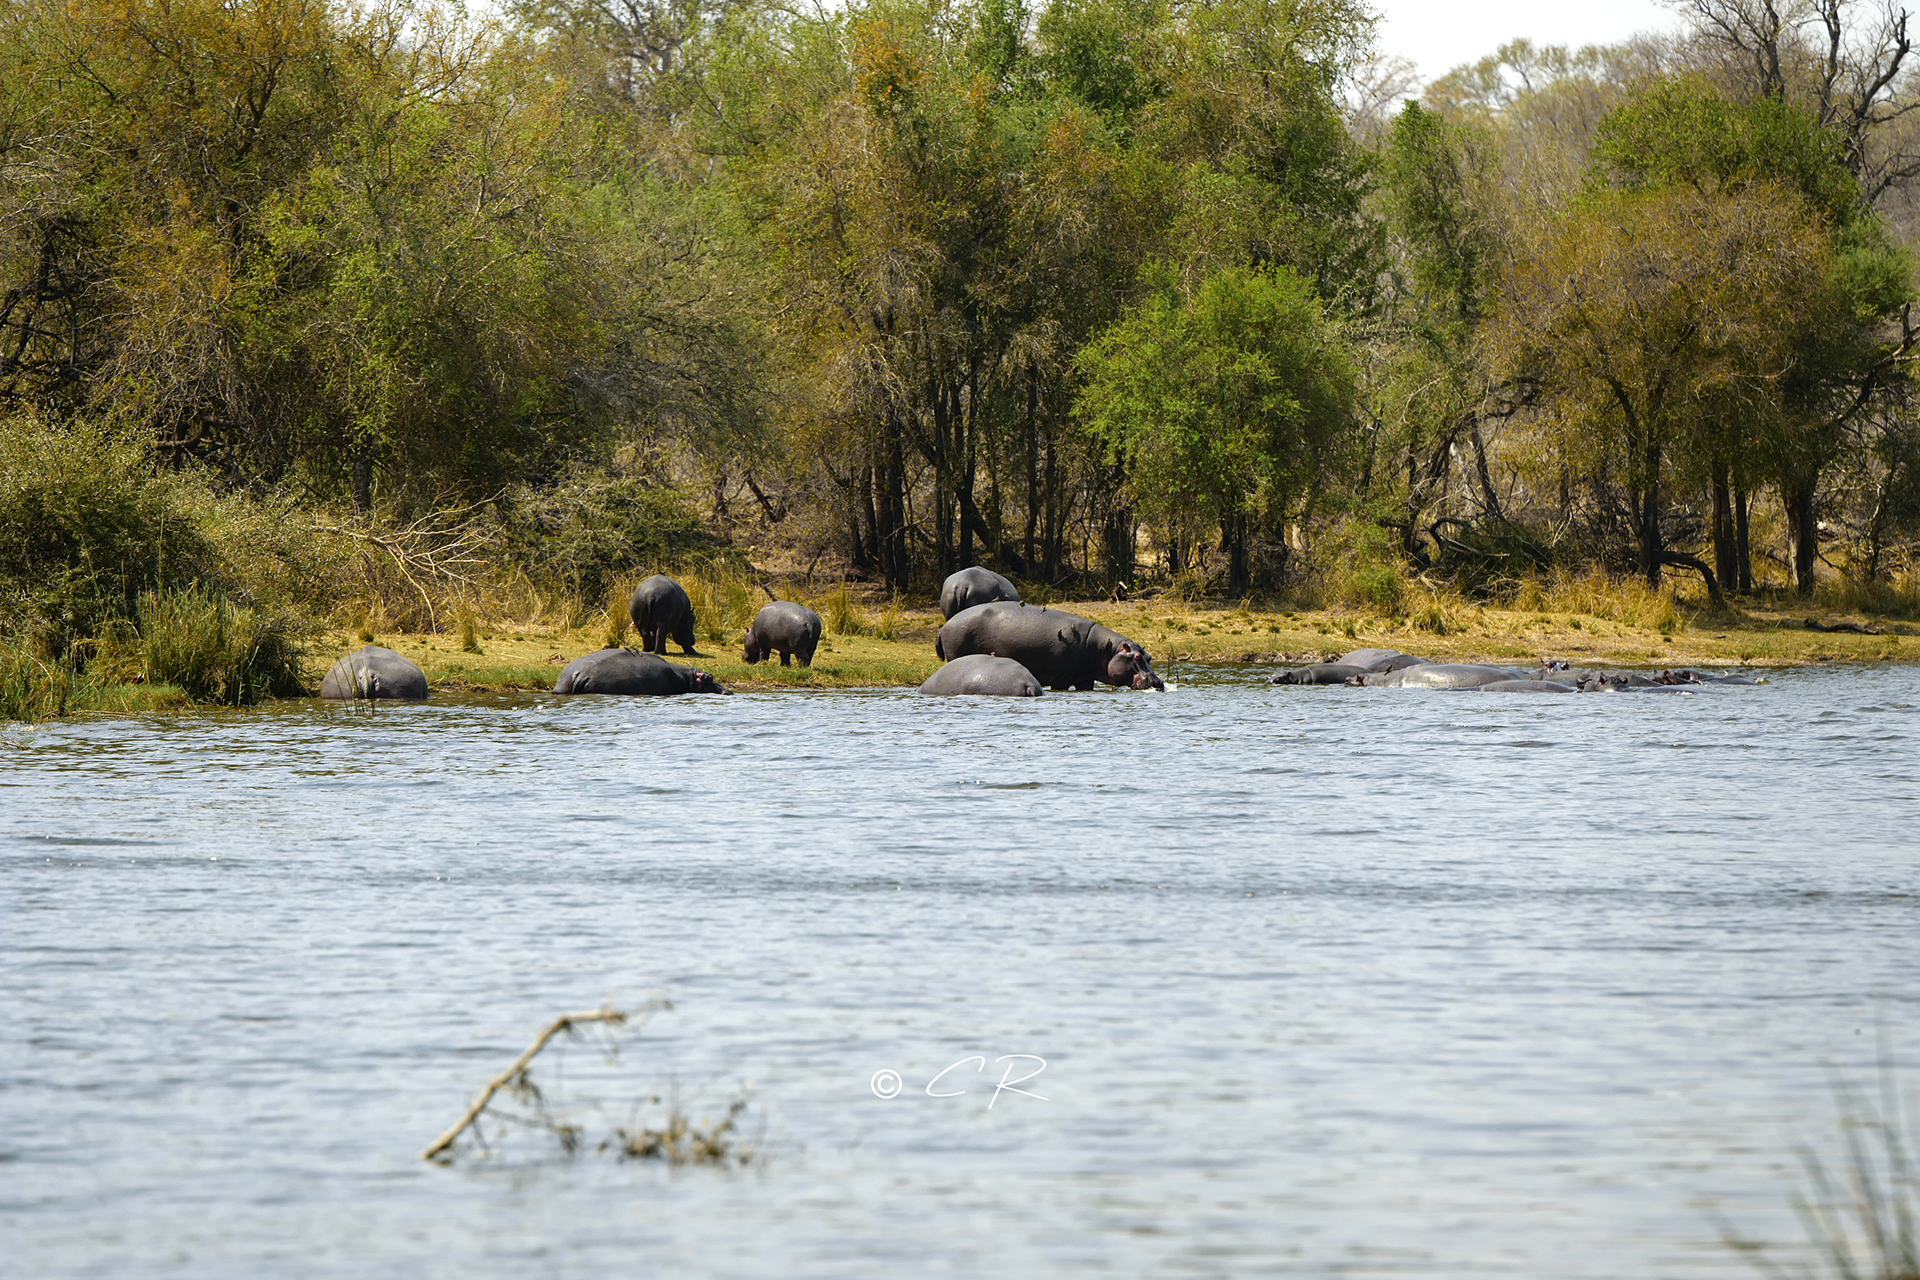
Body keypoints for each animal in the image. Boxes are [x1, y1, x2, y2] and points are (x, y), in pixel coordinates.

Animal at [933, 602, 1159, 690]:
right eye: (1136, 657)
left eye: (1149, 657)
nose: (1158, 682)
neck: (1107, 650)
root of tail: (945, 626)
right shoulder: (1062, 678)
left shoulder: (1085, 679)